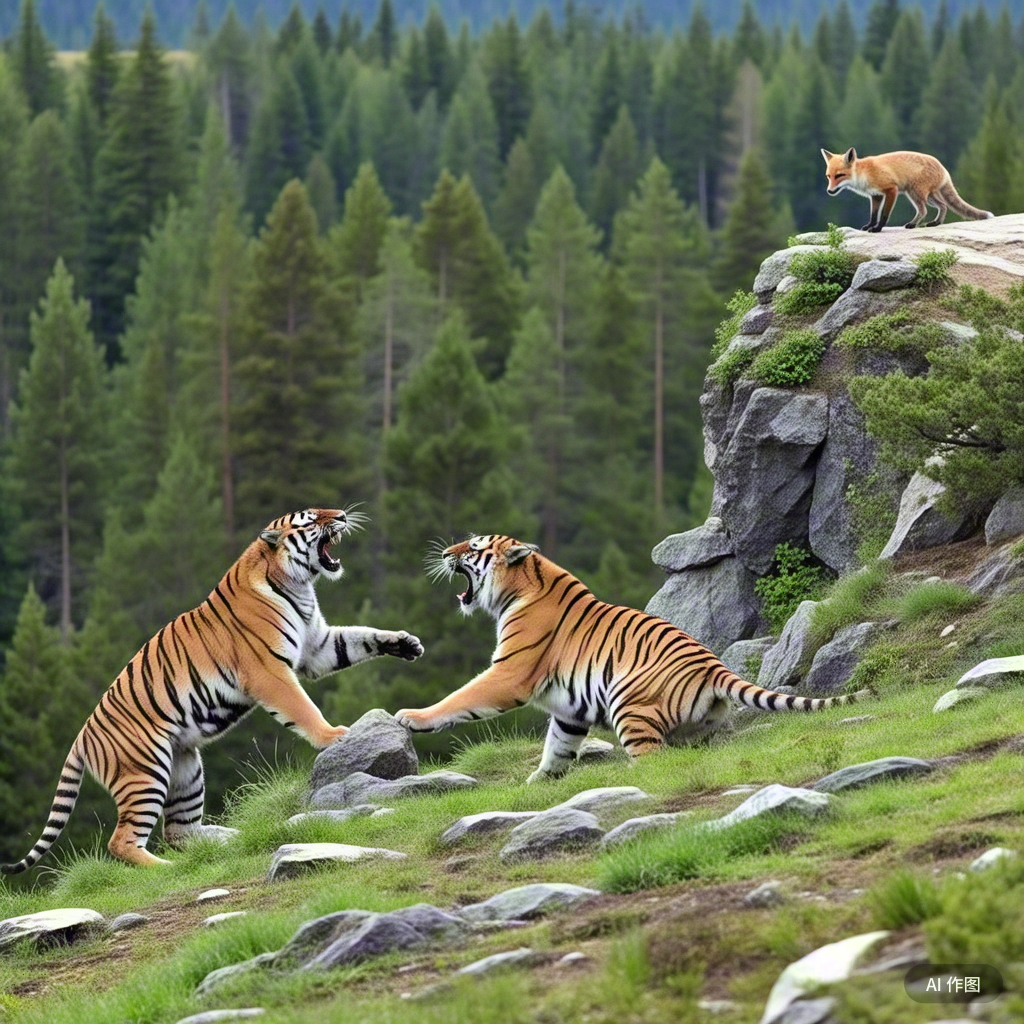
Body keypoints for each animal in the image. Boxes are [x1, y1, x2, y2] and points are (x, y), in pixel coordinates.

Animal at [1, 508, 424, 872]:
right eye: (309, 518)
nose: (341, 515)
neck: (299, 585)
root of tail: (82, 737)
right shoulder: (269, 671)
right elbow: (302, 707)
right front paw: (332, 735)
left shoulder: (317, 647)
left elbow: (361, 636)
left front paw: (405, 643)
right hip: (145, 772)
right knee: (123, 841)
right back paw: (167, 869)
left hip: (185, 770)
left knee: (180, 832)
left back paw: (228, 839)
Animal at [395, 535, 869, 782]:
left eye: (472, 547)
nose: (444, 553)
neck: (520, 588)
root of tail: (714, 666)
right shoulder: (569, 710)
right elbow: (558, 747)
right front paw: (537, 784)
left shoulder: (509, 672)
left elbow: (461, 699)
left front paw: (412, 717)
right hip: (694, 728)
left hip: (630, 704)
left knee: (655, 761)